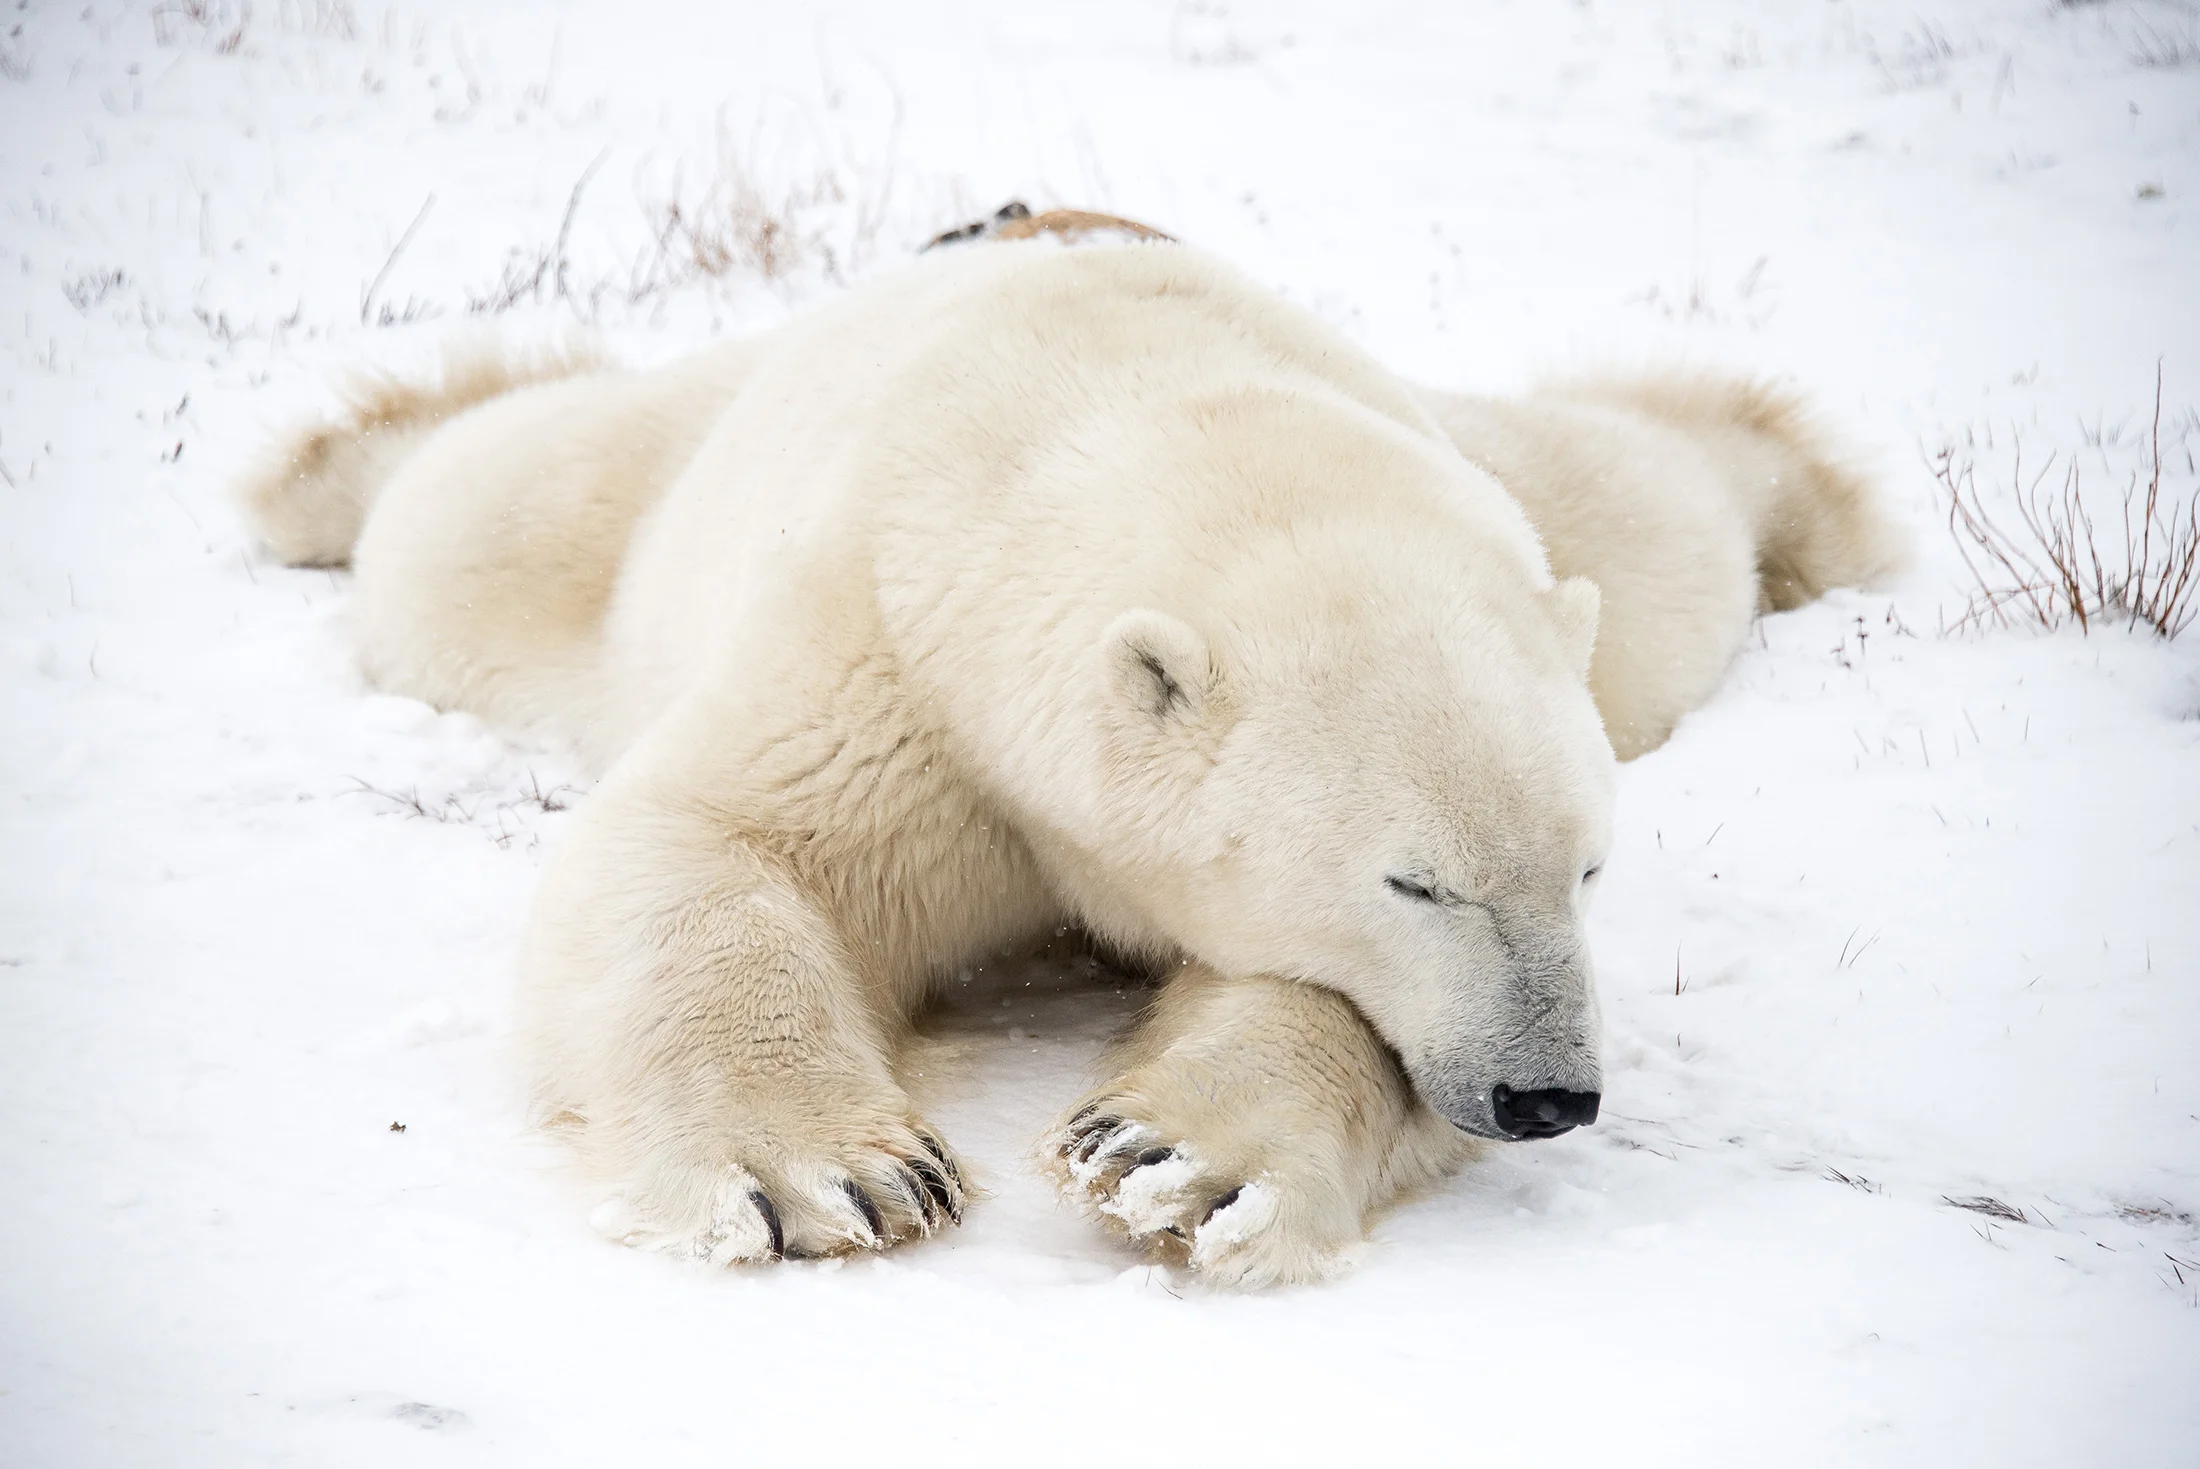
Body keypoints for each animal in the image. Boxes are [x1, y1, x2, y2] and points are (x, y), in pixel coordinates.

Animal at [242, 237, 1897, 1286]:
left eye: (1589, 868)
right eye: (1416, 882)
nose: (1548, 1092)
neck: (1118, 399)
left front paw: (1174, 1153)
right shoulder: (899, 659)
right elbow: (717, 834)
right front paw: (826, 1175)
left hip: (1551, 532)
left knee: (1656, 532)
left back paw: (1802, 491)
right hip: (616, 511)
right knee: (472, 517)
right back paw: (326, 470)